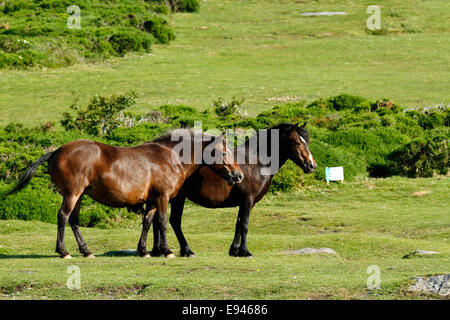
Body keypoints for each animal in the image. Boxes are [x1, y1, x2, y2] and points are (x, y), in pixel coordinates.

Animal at [7, 129, 244, 258]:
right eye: (224, 152)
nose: (239, 175)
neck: (169, 156)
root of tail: (56, 151)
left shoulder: (152, 199)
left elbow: (147, 222)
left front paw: (144, 250)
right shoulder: (163, 197)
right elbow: (162, 223)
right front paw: (167, 250)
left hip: (80, 195)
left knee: (73, 220)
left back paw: (86, 251)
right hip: (72, 194)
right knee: (63, 217)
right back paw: (64, 251)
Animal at [151, 122, 316, 258]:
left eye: (307, 141)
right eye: (297, 142)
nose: (311, 165)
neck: (256, 162)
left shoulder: (246, 203)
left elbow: (238, 224)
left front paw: (235, 250)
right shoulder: (248, 200)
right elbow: (245, 224)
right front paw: (245, 251)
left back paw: (157, 251)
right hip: (176, 198)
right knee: (173, 221)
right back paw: (185, 250)